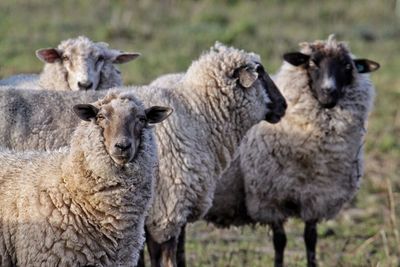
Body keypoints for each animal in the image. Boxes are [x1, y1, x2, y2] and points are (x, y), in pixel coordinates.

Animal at [205, 35, 380, 267]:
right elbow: (280, 241)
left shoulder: (316, 198)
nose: (329, 91)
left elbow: (311, 239)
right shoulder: (270, 199)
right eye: (313, 63)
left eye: (347, 67)